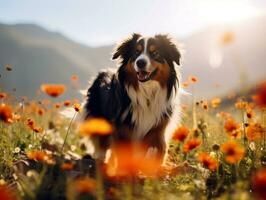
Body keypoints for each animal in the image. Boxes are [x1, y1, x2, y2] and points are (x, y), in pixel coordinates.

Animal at [84, 33, 182, 165]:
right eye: (136, 52)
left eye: (155, 53)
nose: (140, 62)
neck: (147, 93)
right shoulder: (123, 128)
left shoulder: (158, 127)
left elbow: (159, 148)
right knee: (102, 143)